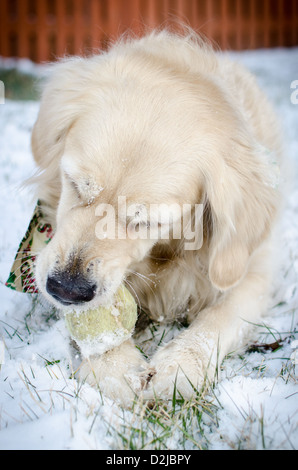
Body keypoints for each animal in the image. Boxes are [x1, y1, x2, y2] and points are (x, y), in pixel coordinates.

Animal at [30, 29, 282, 404]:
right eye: (74, 185)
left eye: (146, 221)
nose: (66, 289)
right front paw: (115, 367)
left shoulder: (252, 268)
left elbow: (220, 315)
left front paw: (181, 364)